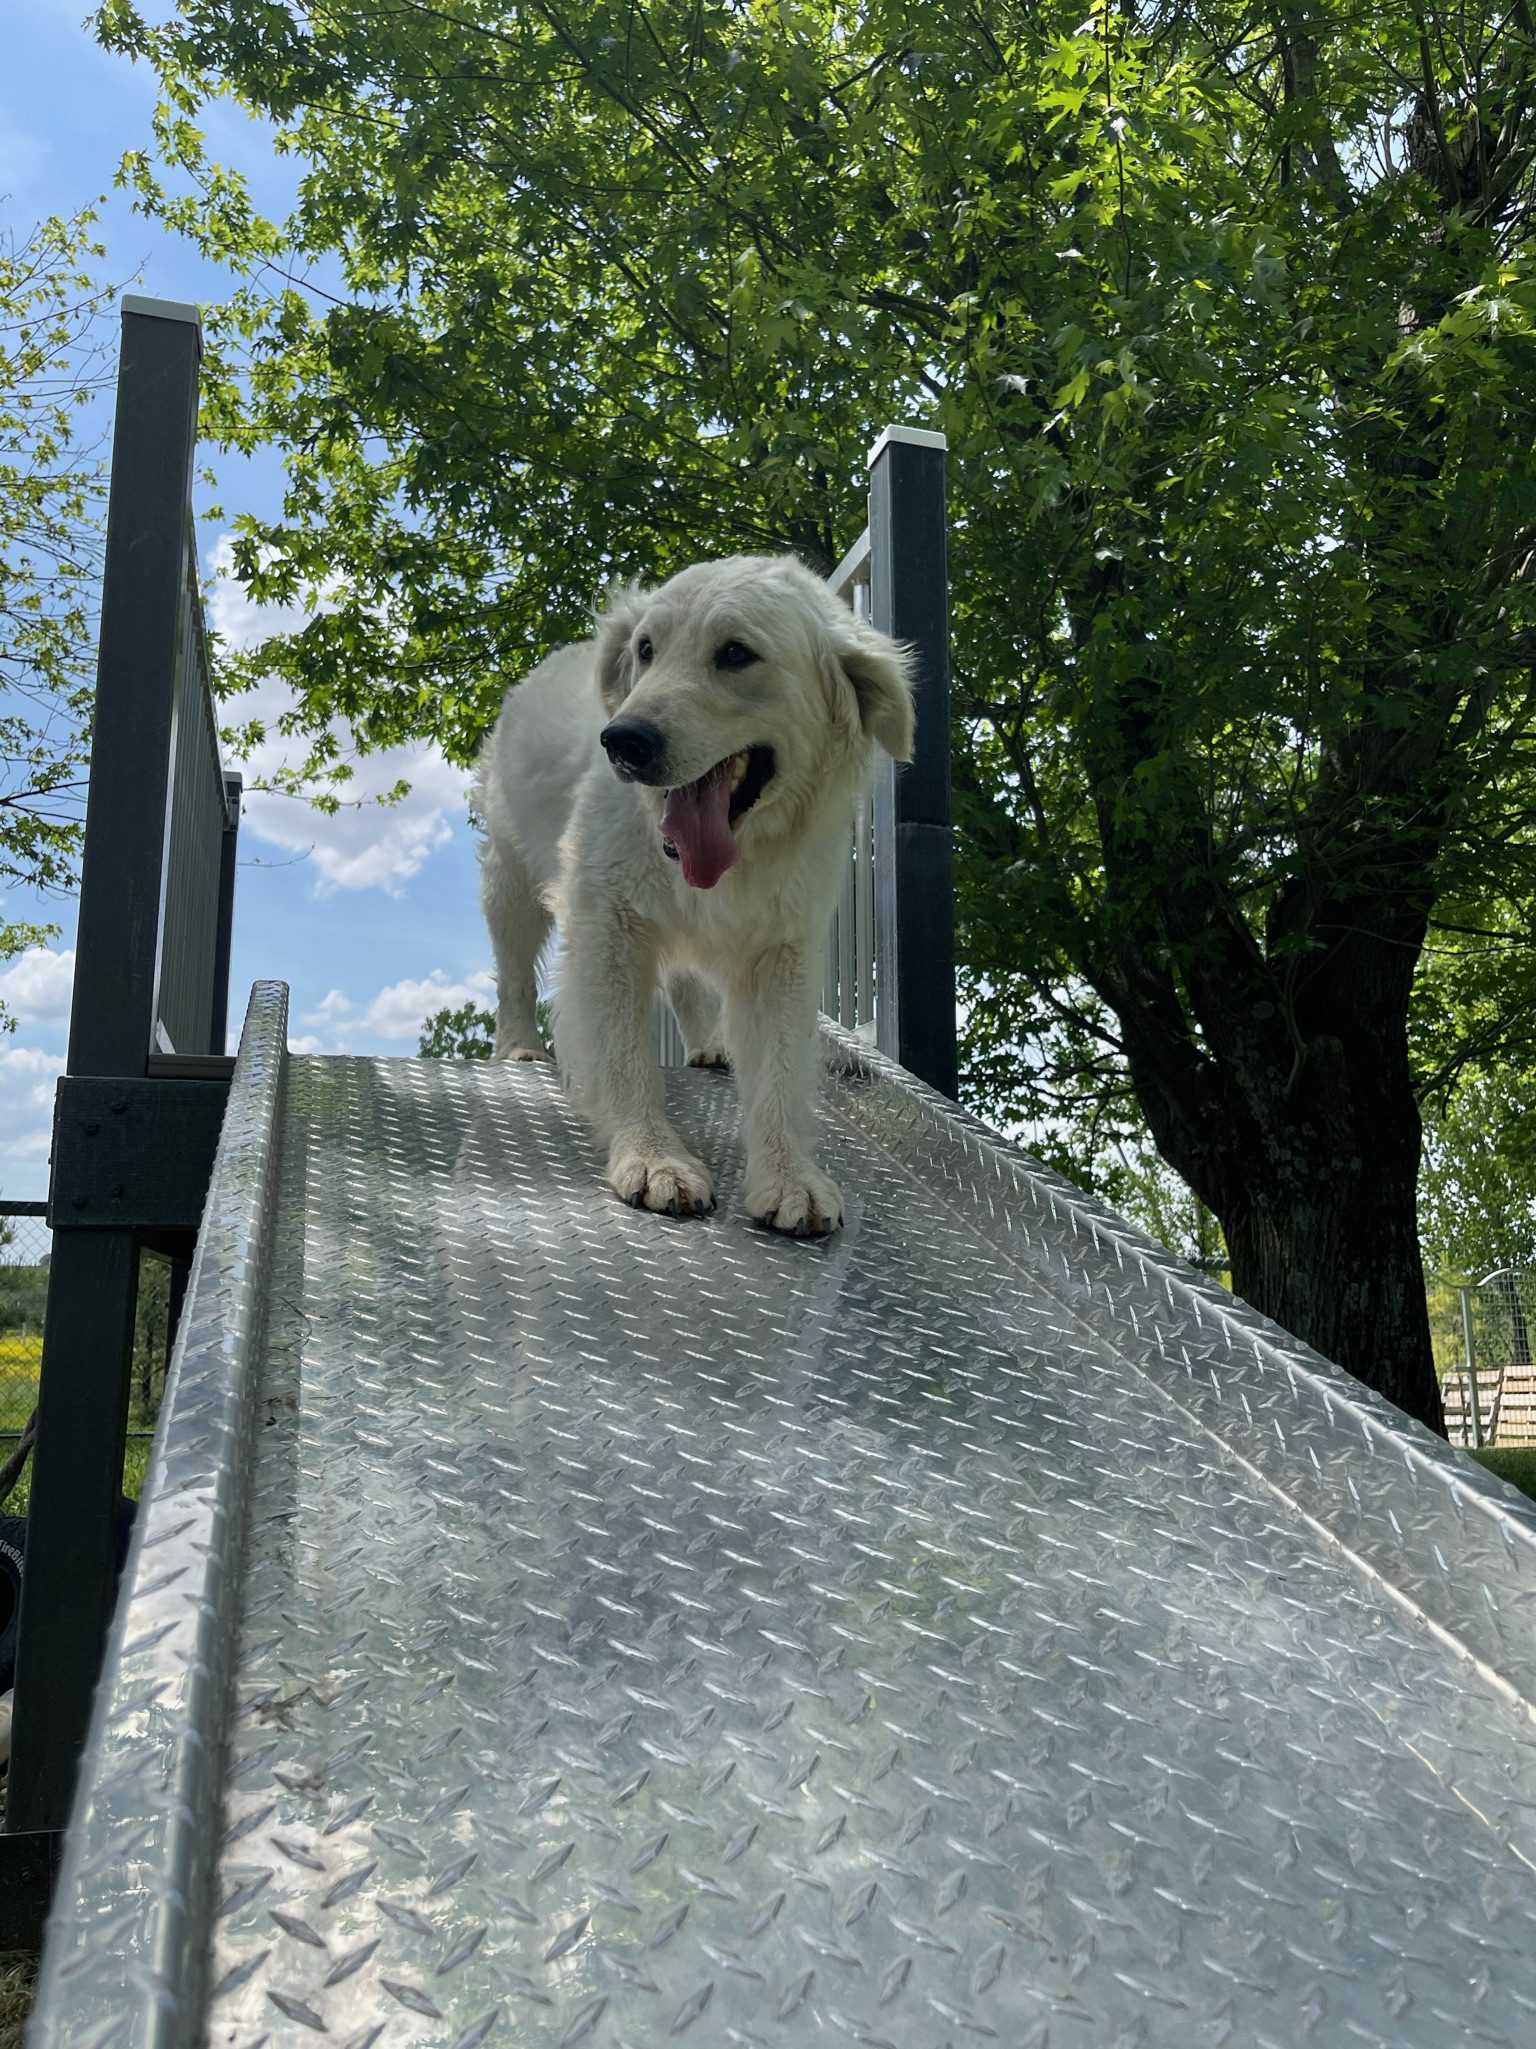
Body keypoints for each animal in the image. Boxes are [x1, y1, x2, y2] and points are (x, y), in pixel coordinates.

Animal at [479, 549, 913, 1229]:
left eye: (735, 653)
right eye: (646, 649)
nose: (622, 741)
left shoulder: (781, 952)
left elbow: (780, 1070)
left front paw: (790, 1177)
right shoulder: (608, 930)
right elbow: (625, 1057)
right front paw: (653, 1159)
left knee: (686, 984)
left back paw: (712, 1044)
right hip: (512, 883)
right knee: (515, 971)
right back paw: (520, 1047)